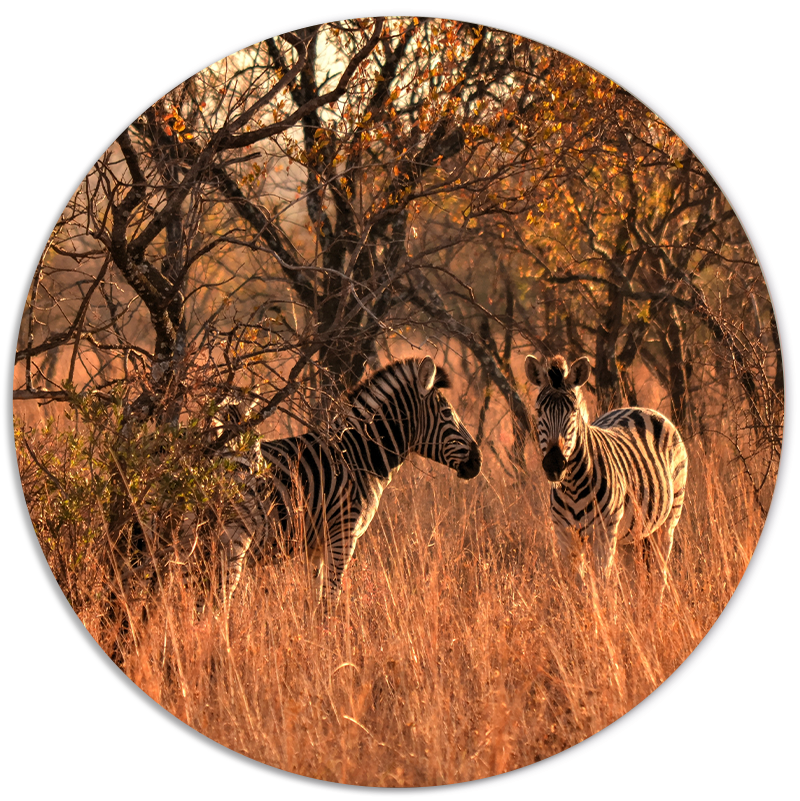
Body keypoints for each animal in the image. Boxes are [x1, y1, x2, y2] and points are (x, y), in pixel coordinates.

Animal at [211, 356, 482, 608]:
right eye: (447, 414)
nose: (478, 461)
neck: (358, 456)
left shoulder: (316, 545)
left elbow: (316, 598)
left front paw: (314, 628)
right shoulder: (343, 534)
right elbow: (332, 599)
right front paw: (333, 628)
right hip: (233, 537)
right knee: (218, 599)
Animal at [524, 353, 688, 594]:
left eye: (573, 412)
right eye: (538, 411)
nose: (554, 464)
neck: (572, 486)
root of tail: (641, 408)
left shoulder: (604, 533)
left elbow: (601, 584)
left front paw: (602, 606)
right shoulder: (565, 534)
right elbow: (577, 586)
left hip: (669, 517)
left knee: (660, 575)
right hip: (631, 534)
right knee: (636, 577)